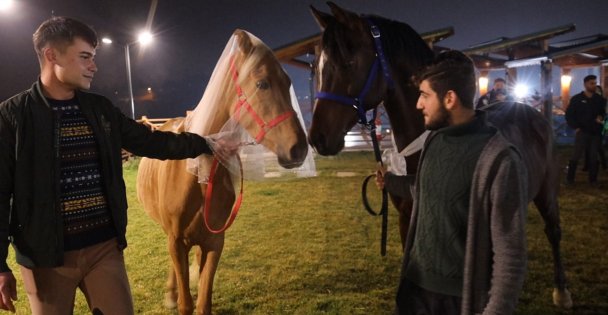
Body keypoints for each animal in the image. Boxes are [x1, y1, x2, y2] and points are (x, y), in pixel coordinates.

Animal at [138, 29, 308, 314]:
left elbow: (203, 303)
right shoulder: (176, 241)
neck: (197, 171)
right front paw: (176, 296)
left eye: (288, 82)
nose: (299, 149)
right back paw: (171, 293)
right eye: (262, 84)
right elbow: (186, 303)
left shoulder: (216, 243)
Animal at [306, 1, 572, 308]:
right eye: (318, 66)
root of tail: (529, 111)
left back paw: (561, 291)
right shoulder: (407, 218)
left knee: (553, 231)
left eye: (348, 64)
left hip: (547, 191)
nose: (317, 138)